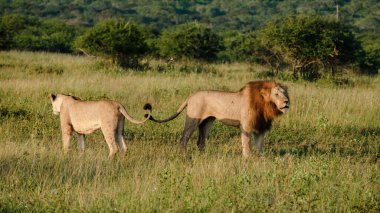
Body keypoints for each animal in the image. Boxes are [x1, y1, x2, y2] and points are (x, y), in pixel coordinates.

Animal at [147, 80, 290, 157]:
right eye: (276, 94)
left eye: (285, 93)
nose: (286, 102)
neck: (266, 105)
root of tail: (191, 96)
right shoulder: (246, 126)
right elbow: (246, 145)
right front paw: (247, 160)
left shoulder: (261, 127)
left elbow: (259, 146)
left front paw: (260, 160)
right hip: (193, 120)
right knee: (183, 139)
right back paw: (184, 156)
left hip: (207, 122)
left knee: (201, 141)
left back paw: (203, 157)